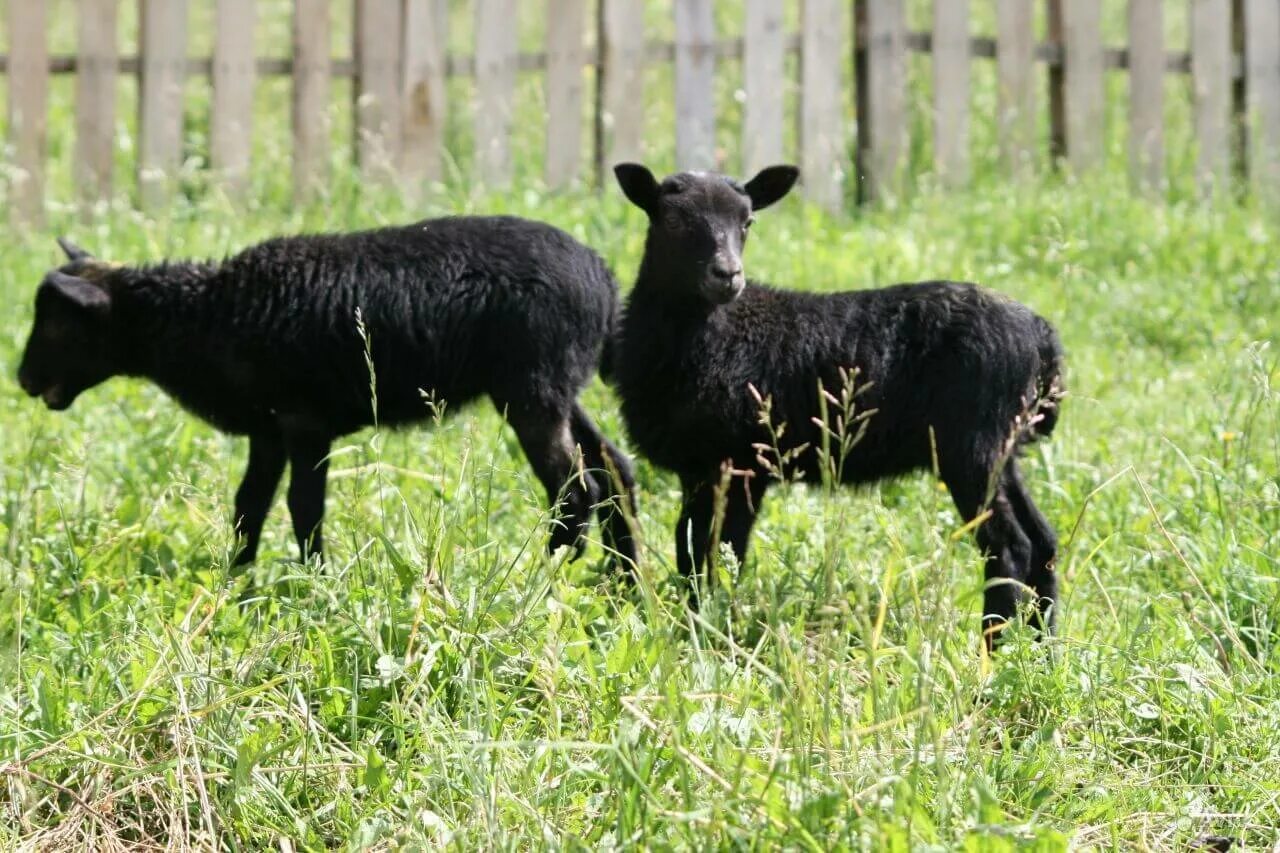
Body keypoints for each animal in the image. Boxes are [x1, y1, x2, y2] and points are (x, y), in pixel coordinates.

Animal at [17, 219, 637, 563]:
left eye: (58, 324)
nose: (22, 381)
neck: (202, 317)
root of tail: (604, 282)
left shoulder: (303, 422)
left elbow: (303, 508)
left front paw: (315, 586)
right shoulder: (267, 429)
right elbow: (248, 509)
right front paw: (235, 586)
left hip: (531, 391)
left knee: (575, 489)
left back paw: (547, 574)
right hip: (558, 386)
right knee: (615, 471)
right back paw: (621, 585)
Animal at [609, 162, 1059, 640]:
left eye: (747, 222)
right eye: (672, 219)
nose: (727, 275)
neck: (715, 335)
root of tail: (1042, 337)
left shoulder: (740, 464)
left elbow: (719, 553)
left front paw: (708, 628)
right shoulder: (700, 468)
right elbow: (691, 549)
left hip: (972, 448)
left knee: (1010, 547)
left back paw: (994, 646)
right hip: (1002, 448)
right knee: (1042, 542)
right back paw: (1042, 645)